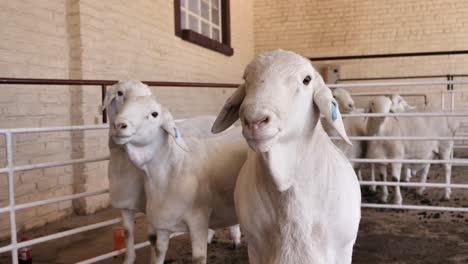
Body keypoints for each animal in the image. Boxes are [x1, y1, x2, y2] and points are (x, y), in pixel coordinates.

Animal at [103, 81, 241, 264]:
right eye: (120, 93)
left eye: (154, 111)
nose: (119, 125)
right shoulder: (126, 204)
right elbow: (128, 232)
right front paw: (129, 259)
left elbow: (152, 238)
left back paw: (235, 238)